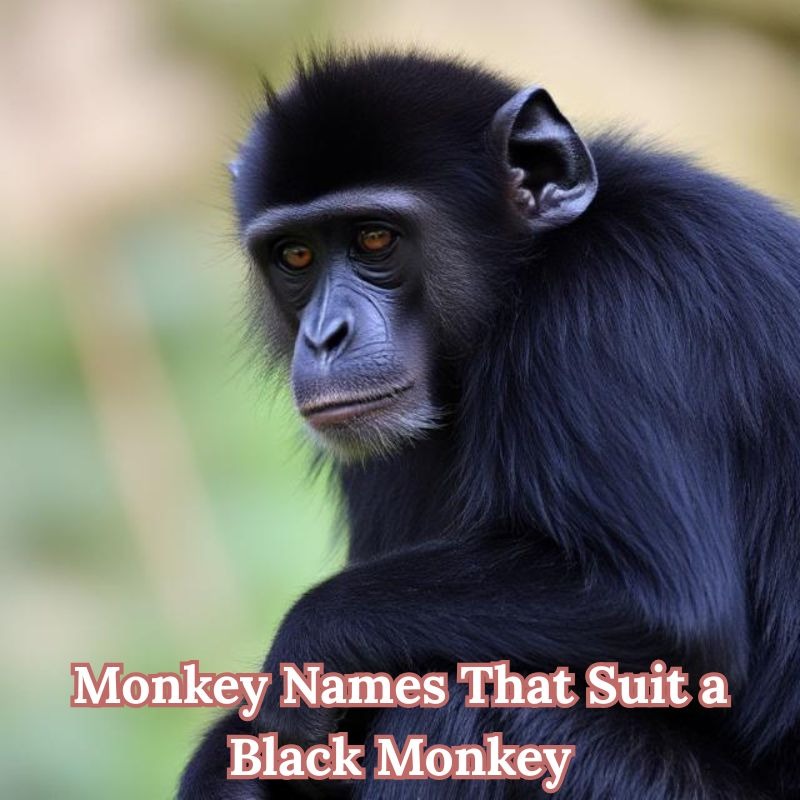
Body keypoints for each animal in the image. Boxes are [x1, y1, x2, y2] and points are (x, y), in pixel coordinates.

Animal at [179, 50, 800, 799]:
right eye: (295, 256)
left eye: (375, 239)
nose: (326, 334)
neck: (529, 269)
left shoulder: (607, 310)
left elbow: (660, 602)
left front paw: (303, 658)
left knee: (468, 702)